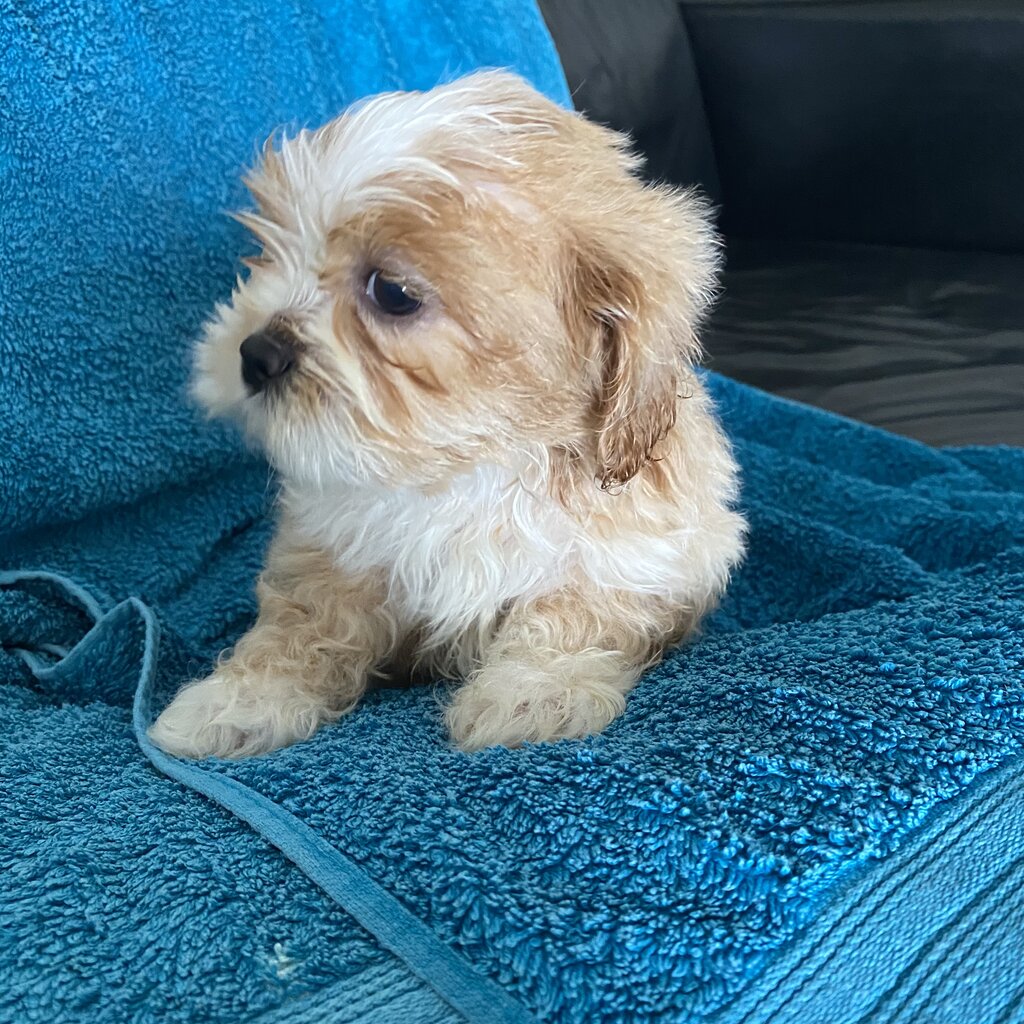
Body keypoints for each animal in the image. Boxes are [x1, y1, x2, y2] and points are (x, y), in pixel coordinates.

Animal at [148, 72, 745, 757]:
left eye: (392, 293)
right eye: (268, 252)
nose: (255, 353)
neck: (469, 464)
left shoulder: (645, 556)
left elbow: (575, 612)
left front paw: (533, 693)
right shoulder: (329, 545)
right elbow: (307, 622)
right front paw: (239, 701)